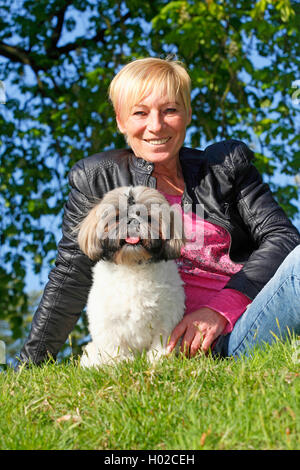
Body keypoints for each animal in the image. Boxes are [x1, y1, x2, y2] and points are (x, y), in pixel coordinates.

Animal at [77, 186, 185, 368]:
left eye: (148, 217)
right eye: (117, 217)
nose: (132, 221)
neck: (133, 264)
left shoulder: (166, 319)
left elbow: (160, 342)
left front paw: (158, 361)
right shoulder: (108, 323)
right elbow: (115, 346)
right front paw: (122, 363)